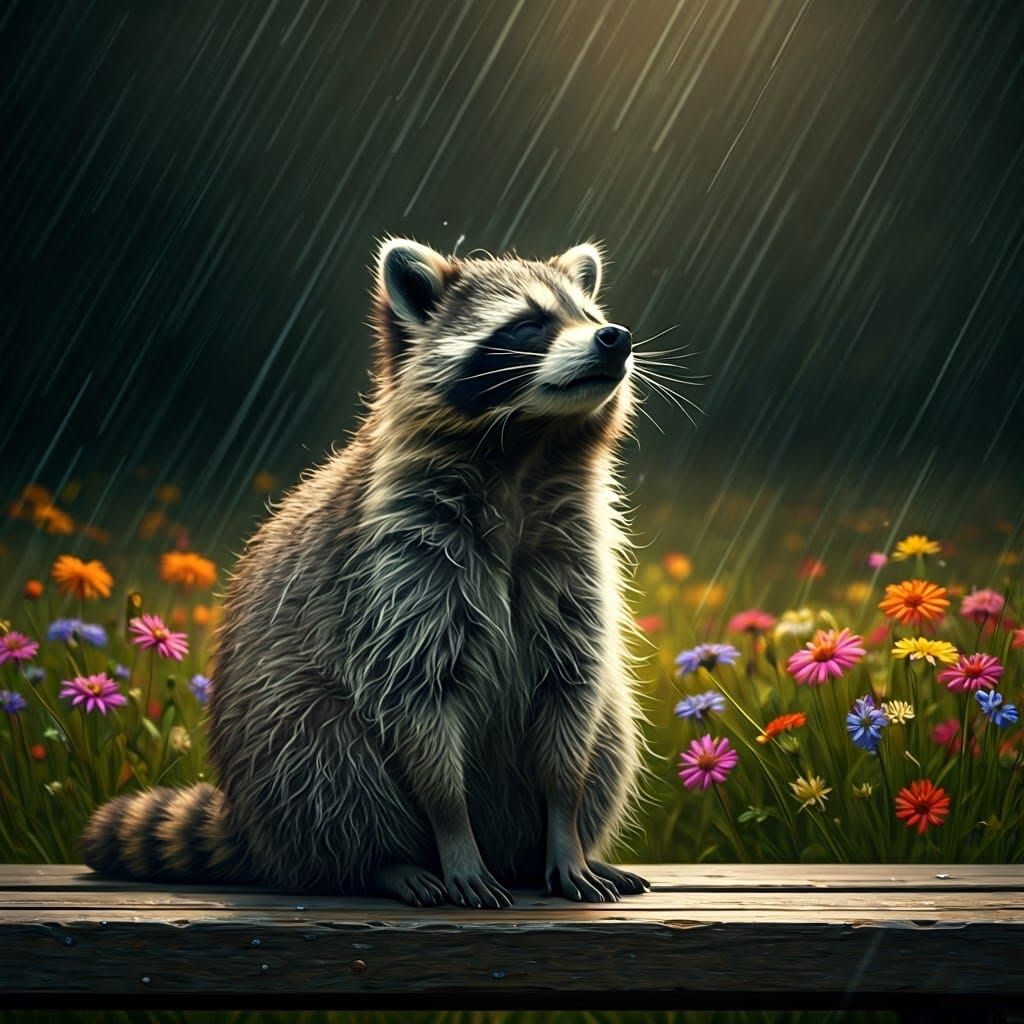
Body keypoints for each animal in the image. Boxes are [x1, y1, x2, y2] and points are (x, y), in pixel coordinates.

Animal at [80, 238, 652, 907]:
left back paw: (554, 850)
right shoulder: (394, 566)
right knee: (325, 757)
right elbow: (416, 703)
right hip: (280, 734)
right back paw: (382, 863)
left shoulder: (574, 556)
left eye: (588, 315)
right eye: (529, 325)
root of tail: (250, 827)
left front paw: (565, 833)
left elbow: (572, 699)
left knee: (610, 726)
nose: (615, 338)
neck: (526, 452)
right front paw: (454, 835)